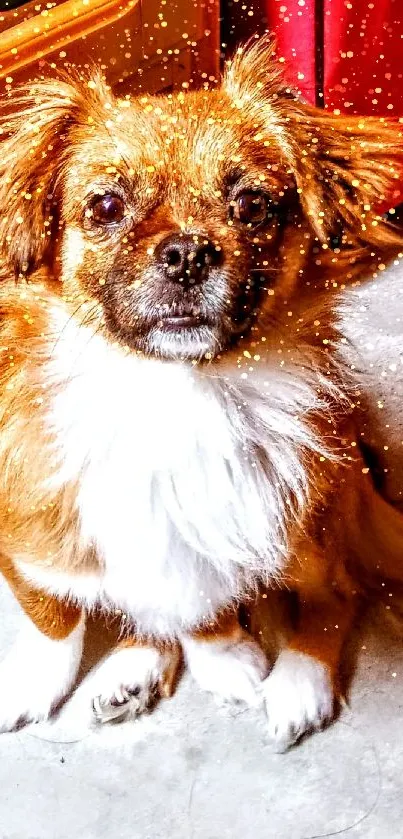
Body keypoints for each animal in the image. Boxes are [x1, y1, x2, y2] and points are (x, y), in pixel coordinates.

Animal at [0, 37, 403, 748]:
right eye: (105, 207)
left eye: (253, 206)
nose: (188, 253)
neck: (170, 395)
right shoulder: (27, 535)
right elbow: (52, 617)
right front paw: (34, 684)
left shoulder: (229, 532)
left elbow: (202, 608)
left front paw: (228, 661)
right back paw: (130, 672)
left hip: (310, 520)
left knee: (338, 593)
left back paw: (297, 684)